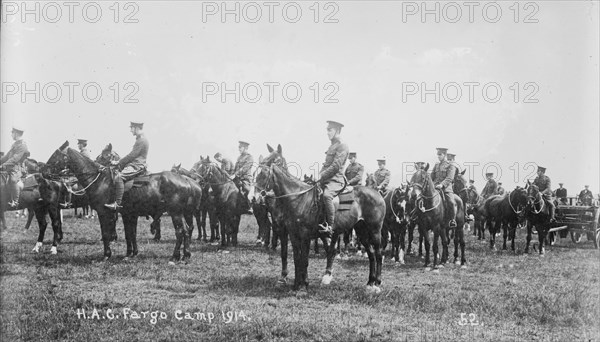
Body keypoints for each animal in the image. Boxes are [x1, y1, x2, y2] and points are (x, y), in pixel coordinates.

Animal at [47, 142, 197, 262]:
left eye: (56, 155)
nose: (44, 170)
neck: (101, 180)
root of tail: (186, 180)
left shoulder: (104, 213)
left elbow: (106, 234)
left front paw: (106, 255)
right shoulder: (128, 214)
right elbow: (130, 234)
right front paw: (131, 253)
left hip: (175, 213)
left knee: (180, 231)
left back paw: (175, 256)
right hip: (179, 213)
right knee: (186, 230)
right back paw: (186, 255)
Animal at [253, 145, 384, 294]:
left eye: (263, 174)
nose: (255, 197)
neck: (298, 198)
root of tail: (377, 194)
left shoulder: (304, 235)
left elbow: (304, 260)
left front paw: (304, 286)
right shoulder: (293, 235)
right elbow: (296, 259)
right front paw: (296, 285)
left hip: (375, 231)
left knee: (378, 254)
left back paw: (377, 283)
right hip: (361, 231)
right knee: (371, 253)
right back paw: (370, 282)